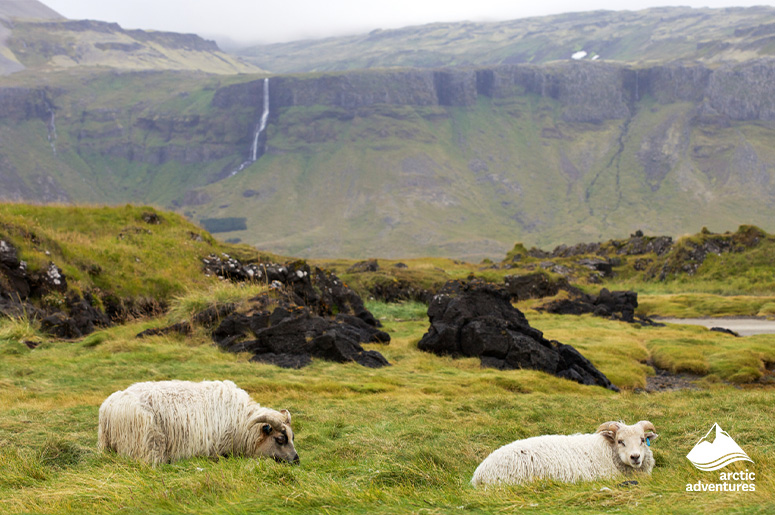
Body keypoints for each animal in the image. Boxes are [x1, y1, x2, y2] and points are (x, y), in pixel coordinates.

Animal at [98, 380, 299, 465]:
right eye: (280, 439)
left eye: (292, 437)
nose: (297, 460)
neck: (242, 423)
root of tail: (108, 408)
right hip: (148, 442)